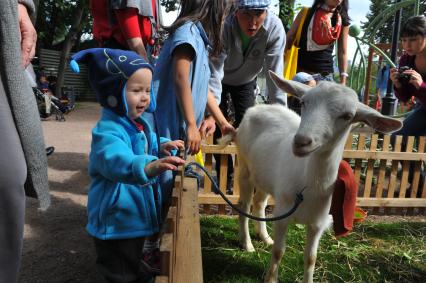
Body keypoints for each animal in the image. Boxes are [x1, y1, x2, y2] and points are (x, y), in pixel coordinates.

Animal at [220, 71, 402, 283]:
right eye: (304, 102)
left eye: (348, 116)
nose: (301, 142)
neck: (309, 185)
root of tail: (256, 108)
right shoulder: (283, 214)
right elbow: (279, 252)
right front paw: (271, 278)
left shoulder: (318, 223)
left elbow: (311, 258)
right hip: (244, 167)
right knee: (244, 205)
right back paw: (247, 243)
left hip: (266, 176)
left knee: (259, 203)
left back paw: (265, 237)